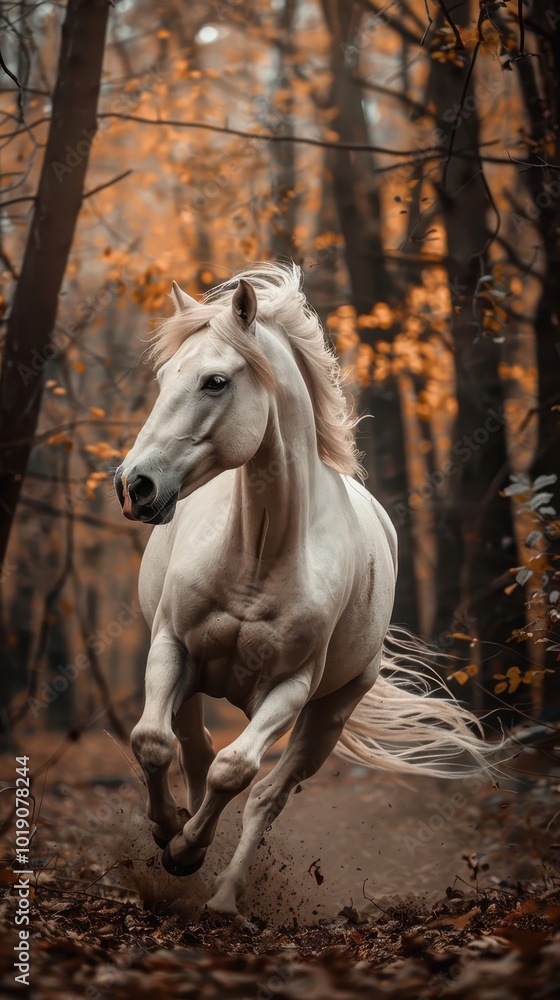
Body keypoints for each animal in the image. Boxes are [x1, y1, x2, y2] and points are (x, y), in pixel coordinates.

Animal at [115, 261, 495, 917]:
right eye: (164, 377)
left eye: (216, 382)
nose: (135, 485)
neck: (259, 552)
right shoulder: (171, 648)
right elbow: (153, 742)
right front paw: (169, 834)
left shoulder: (292, 687)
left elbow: (237, 772)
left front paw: (188, 849)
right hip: (194, 682)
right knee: (191, 745)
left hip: (328, 715)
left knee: (265, 792)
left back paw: (224, 894)